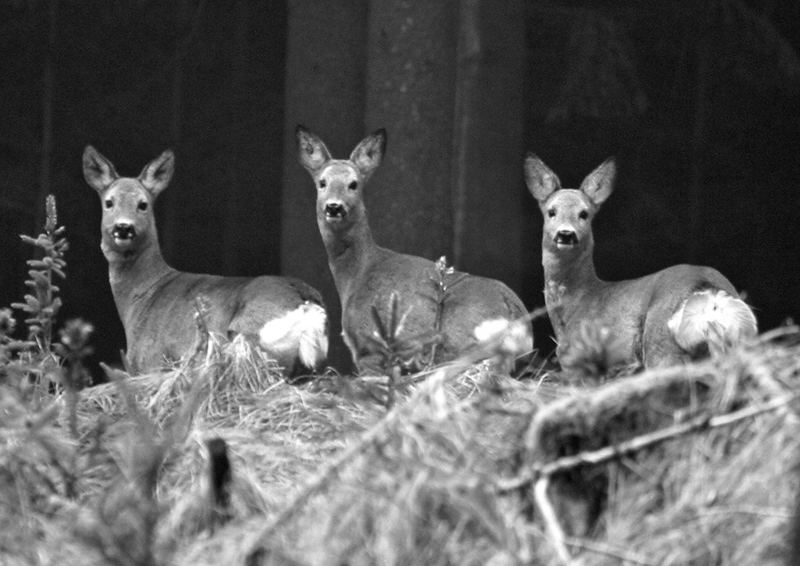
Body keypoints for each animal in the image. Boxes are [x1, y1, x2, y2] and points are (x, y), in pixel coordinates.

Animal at [83, 146, 326, 378]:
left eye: (143, 204)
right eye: (109, 202)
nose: (124, 227)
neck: (142, 296)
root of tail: (304, 299)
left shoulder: (152, 358)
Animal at [296, 125, 532, 372]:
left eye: (354, 184)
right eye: (322, 182)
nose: (334, 207)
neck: (356, 275)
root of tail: (514, 314)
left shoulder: (369, 349)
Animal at [524, 154, 756, 372]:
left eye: (584, 214)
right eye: (551, 212)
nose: (566, 234)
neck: (577, 304)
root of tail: (711, 296)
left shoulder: (581, 362)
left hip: (661, 344)